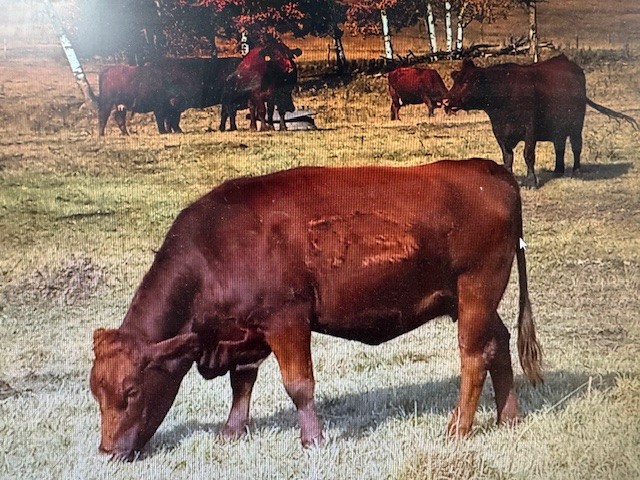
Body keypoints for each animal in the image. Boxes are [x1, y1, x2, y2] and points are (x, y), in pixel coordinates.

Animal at [90, 57, 241, 135]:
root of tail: (107, 68)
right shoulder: (166, 105)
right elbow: (165, 119)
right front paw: (167, 131)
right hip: (107, 102)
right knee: (103, 116)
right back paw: (101, 134)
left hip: (120, 105)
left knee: (118, 117)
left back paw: (125, 133)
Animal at [90, 158, 543, 461]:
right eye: (96, 392)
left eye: (131, 392)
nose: (107, 452)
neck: (218, 247)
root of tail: (489, 170)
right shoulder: (247, 331)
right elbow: (242, 382)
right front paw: (231, 432)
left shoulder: (287, 319)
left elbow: (298, 385)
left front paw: (312, 440)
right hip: (472, 299)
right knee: (499, 343)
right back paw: (509, 418)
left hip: (477, 288)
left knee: (474, 355)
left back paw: (457, 428)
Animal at [444, 55, 639, 188]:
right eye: (456, 80)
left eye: (467, 81)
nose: (446, 100)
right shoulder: (500, 132)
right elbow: (507, 157)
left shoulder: (530, 129)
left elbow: (528, 154)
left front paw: (531, 181)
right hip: (558, 128)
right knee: (559, 147)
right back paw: (558, 171)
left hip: (576, 125)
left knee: (576, 146)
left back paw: (576, 171)